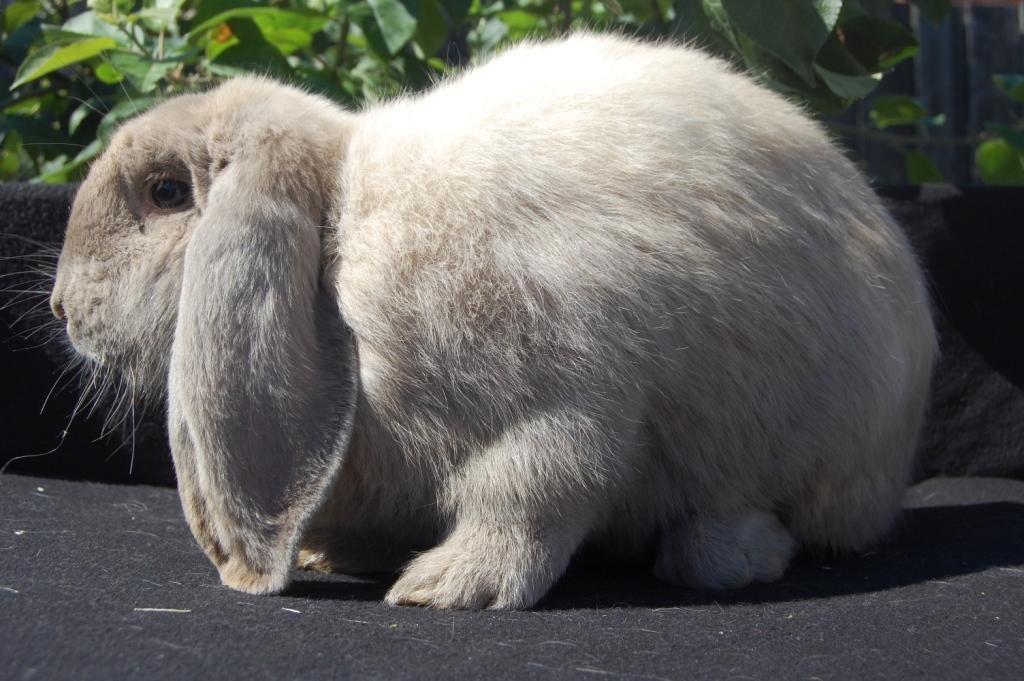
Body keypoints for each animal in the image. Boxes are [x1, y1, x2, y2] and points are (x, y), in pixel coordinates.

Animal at [49, 31, 937, 606]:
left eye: (167, 192)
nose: (60, 305)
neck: (340, 241)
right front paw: (339, 555)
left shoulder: (563, 399)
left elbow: (537, 488)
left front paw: (444, 587)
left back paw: (722, 553)